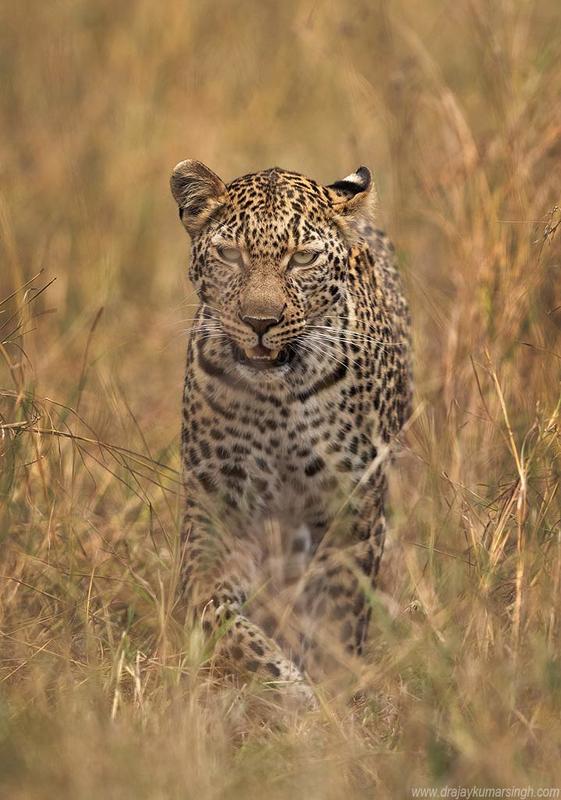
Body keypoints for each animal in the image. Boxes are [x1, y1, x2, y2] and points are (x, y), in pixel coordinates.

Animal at [170, 159, 412, 706]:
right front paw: (289, 687)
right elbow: (219, 616)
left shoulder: (353, 513)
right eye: (230, 254)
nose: (260, 321)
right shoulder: (218, 515)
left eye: (302, 259)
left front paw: (331, 695)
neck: (276, 398)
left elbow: (340, 616)